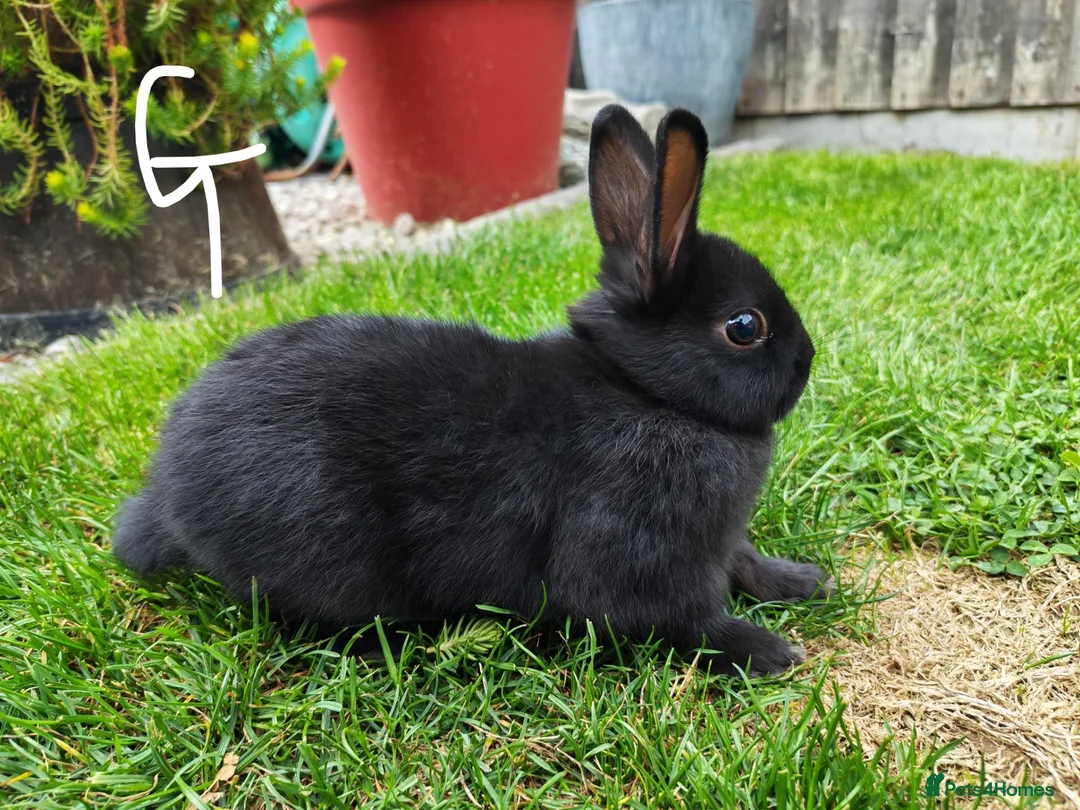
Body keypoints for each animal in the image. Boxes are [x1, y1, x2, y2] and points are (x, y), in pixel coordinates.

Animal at [112, 104, 828, 676]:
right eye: (745, 327)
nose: (808, 360)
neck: (646, 393)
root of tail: (171, 493)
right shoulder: (641, 558)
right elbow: (685, 620)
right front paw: (767, 650)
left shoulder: (717, 543)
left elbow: (744, 561)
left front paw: (801, 581)